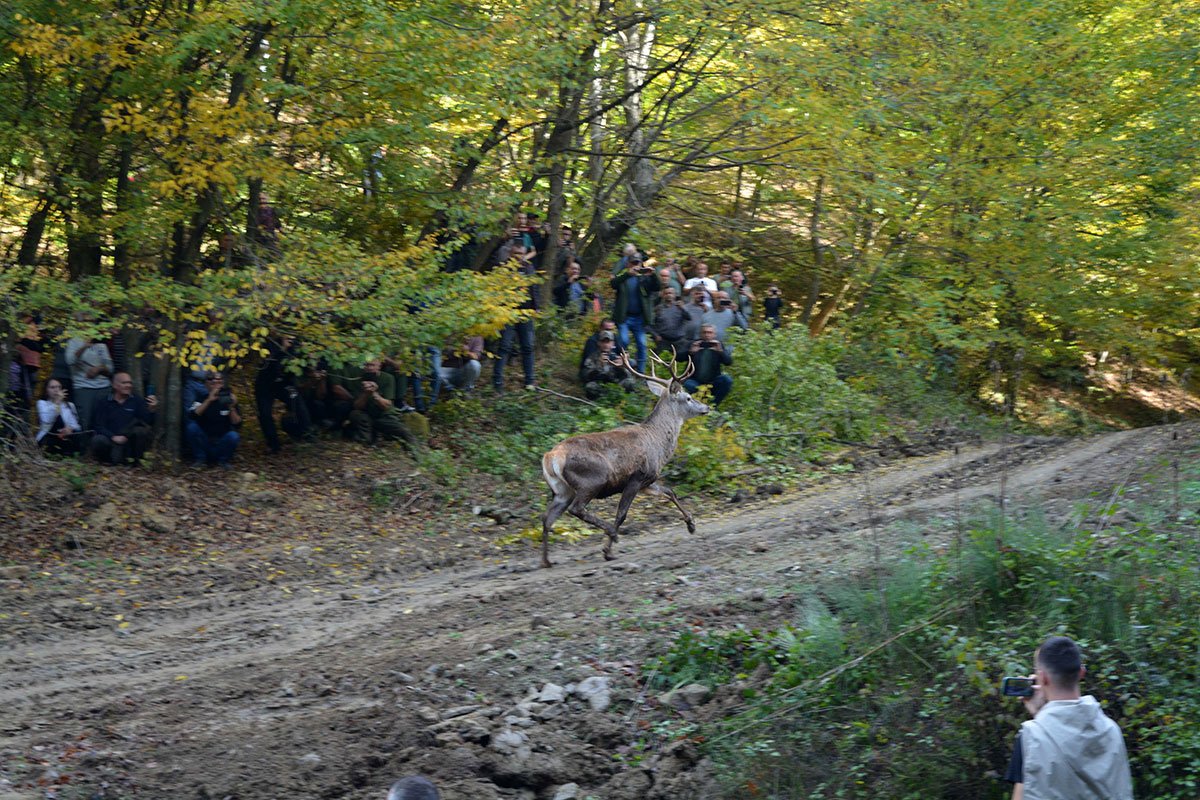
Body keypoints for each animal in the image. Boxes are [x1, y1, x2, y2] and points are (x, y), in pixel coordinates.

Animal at [540, 350, 705, 568]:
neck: (658, 443)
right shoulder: (636, 477)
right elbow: (622, 514)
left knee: (547, 518)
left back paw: (546, 561)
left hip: (561, 490)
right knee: (576, 509)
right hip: (591, 480)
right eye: (688, 397)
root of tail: (551, 457)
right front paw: (607, 551)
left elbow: (670, 492)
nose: (706, 407)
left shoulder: (648, 480)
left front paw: (691, 524)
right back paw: (611, 533)